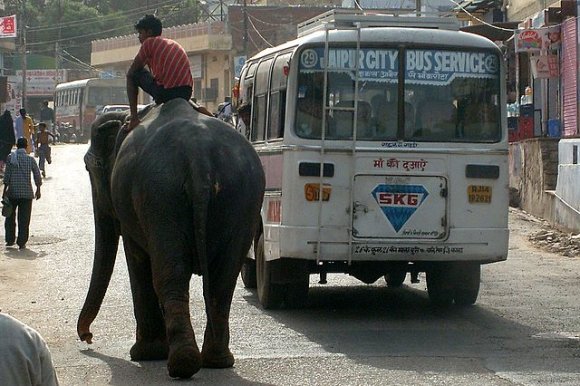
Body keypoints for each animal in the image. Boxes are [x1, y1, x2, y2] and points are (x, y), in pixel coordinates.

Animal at [77, 98, 266, 378]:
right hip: (243, 197)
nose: (87, 338)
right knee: (223, 278)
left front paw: (145, 354)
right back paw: (216, 361)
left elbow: (136, 258)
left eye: (88, 166)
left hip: (160, 196)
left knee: (170, 274)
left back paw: (181, 363)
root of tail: (199, 157)